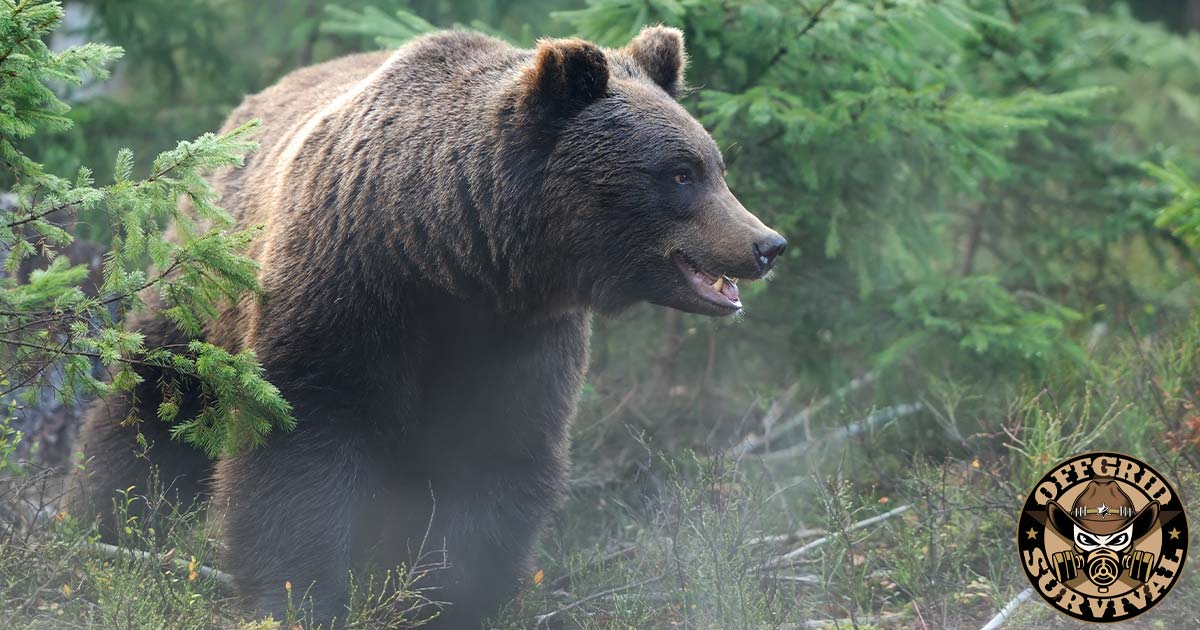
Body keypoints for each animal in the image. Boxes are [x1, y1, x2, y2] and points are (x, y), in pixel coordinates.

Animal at [75, 26, 785, 628]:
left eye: (715, 165)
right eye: (680, 173)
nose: (766, 244)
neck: (446, 250)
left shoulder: (516, 339)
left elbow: (497, 457)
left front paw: (440, 597)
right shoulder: (345, 293)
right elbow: (298, 441)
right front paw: (298, 597)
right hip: (201, 290)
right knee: (151, 403)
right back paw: (103, 526)